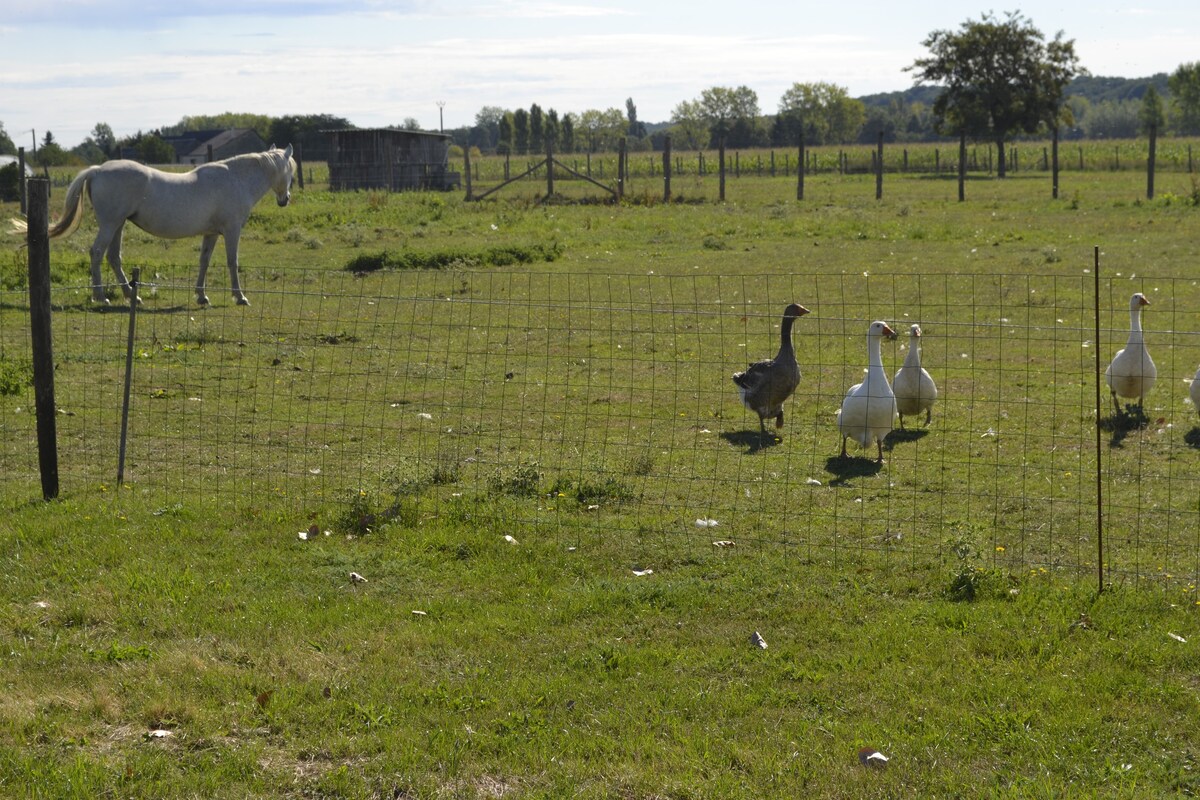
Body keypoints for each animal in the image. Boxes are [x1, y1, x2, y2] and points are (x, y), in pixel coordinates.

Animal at [18, 143, 292, 307]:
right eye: (290, 171)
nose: (285, 199)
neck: (235, 179)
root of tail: (97, 170)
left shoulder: (212, 234)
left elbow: (204, 261)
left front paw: (201, 296)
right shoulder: (232, 230)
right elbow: (232, 262)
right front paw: (240, 296)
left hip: (118, 225)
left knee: (113, 257)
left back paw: (132, 295)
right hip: (110, 224)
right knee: (96, 253)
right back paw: (101, 297)